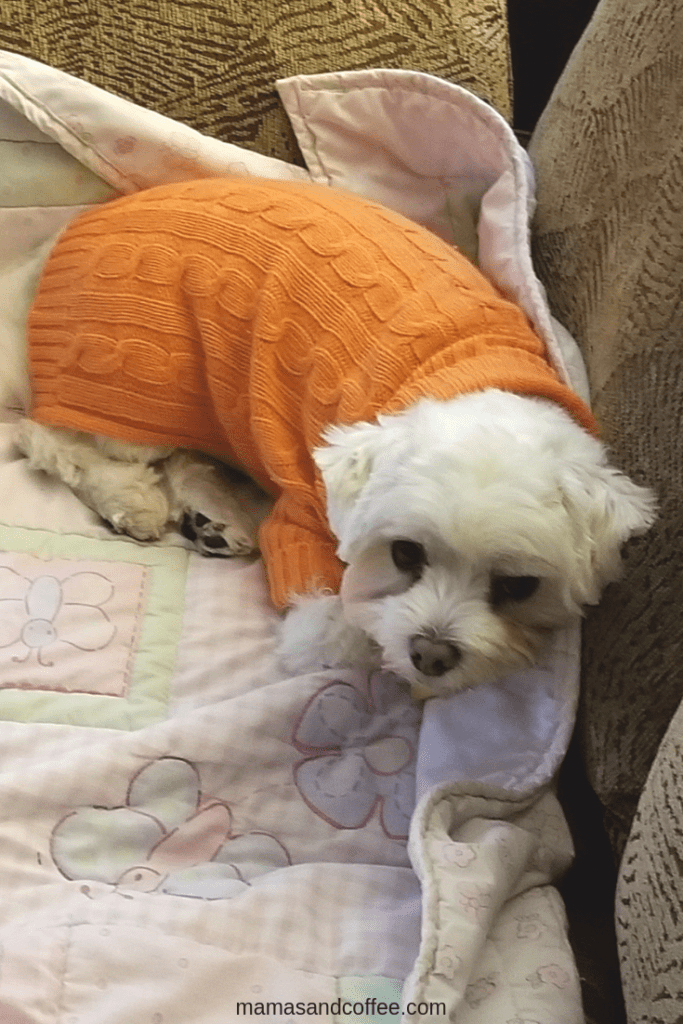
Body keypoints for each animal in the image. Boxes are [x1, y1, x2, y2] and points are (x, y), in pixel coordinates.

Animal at [2, 184, 659, 700]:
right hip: (132, 380)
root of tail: (52, 247)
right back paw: (133, 498)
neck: (467, 378)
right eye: (405, 554)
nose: (433, 655)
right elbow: (340, 633)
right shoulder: (305, 519)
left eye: (518, 586)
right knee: (49, 435)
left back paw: (210, 516)